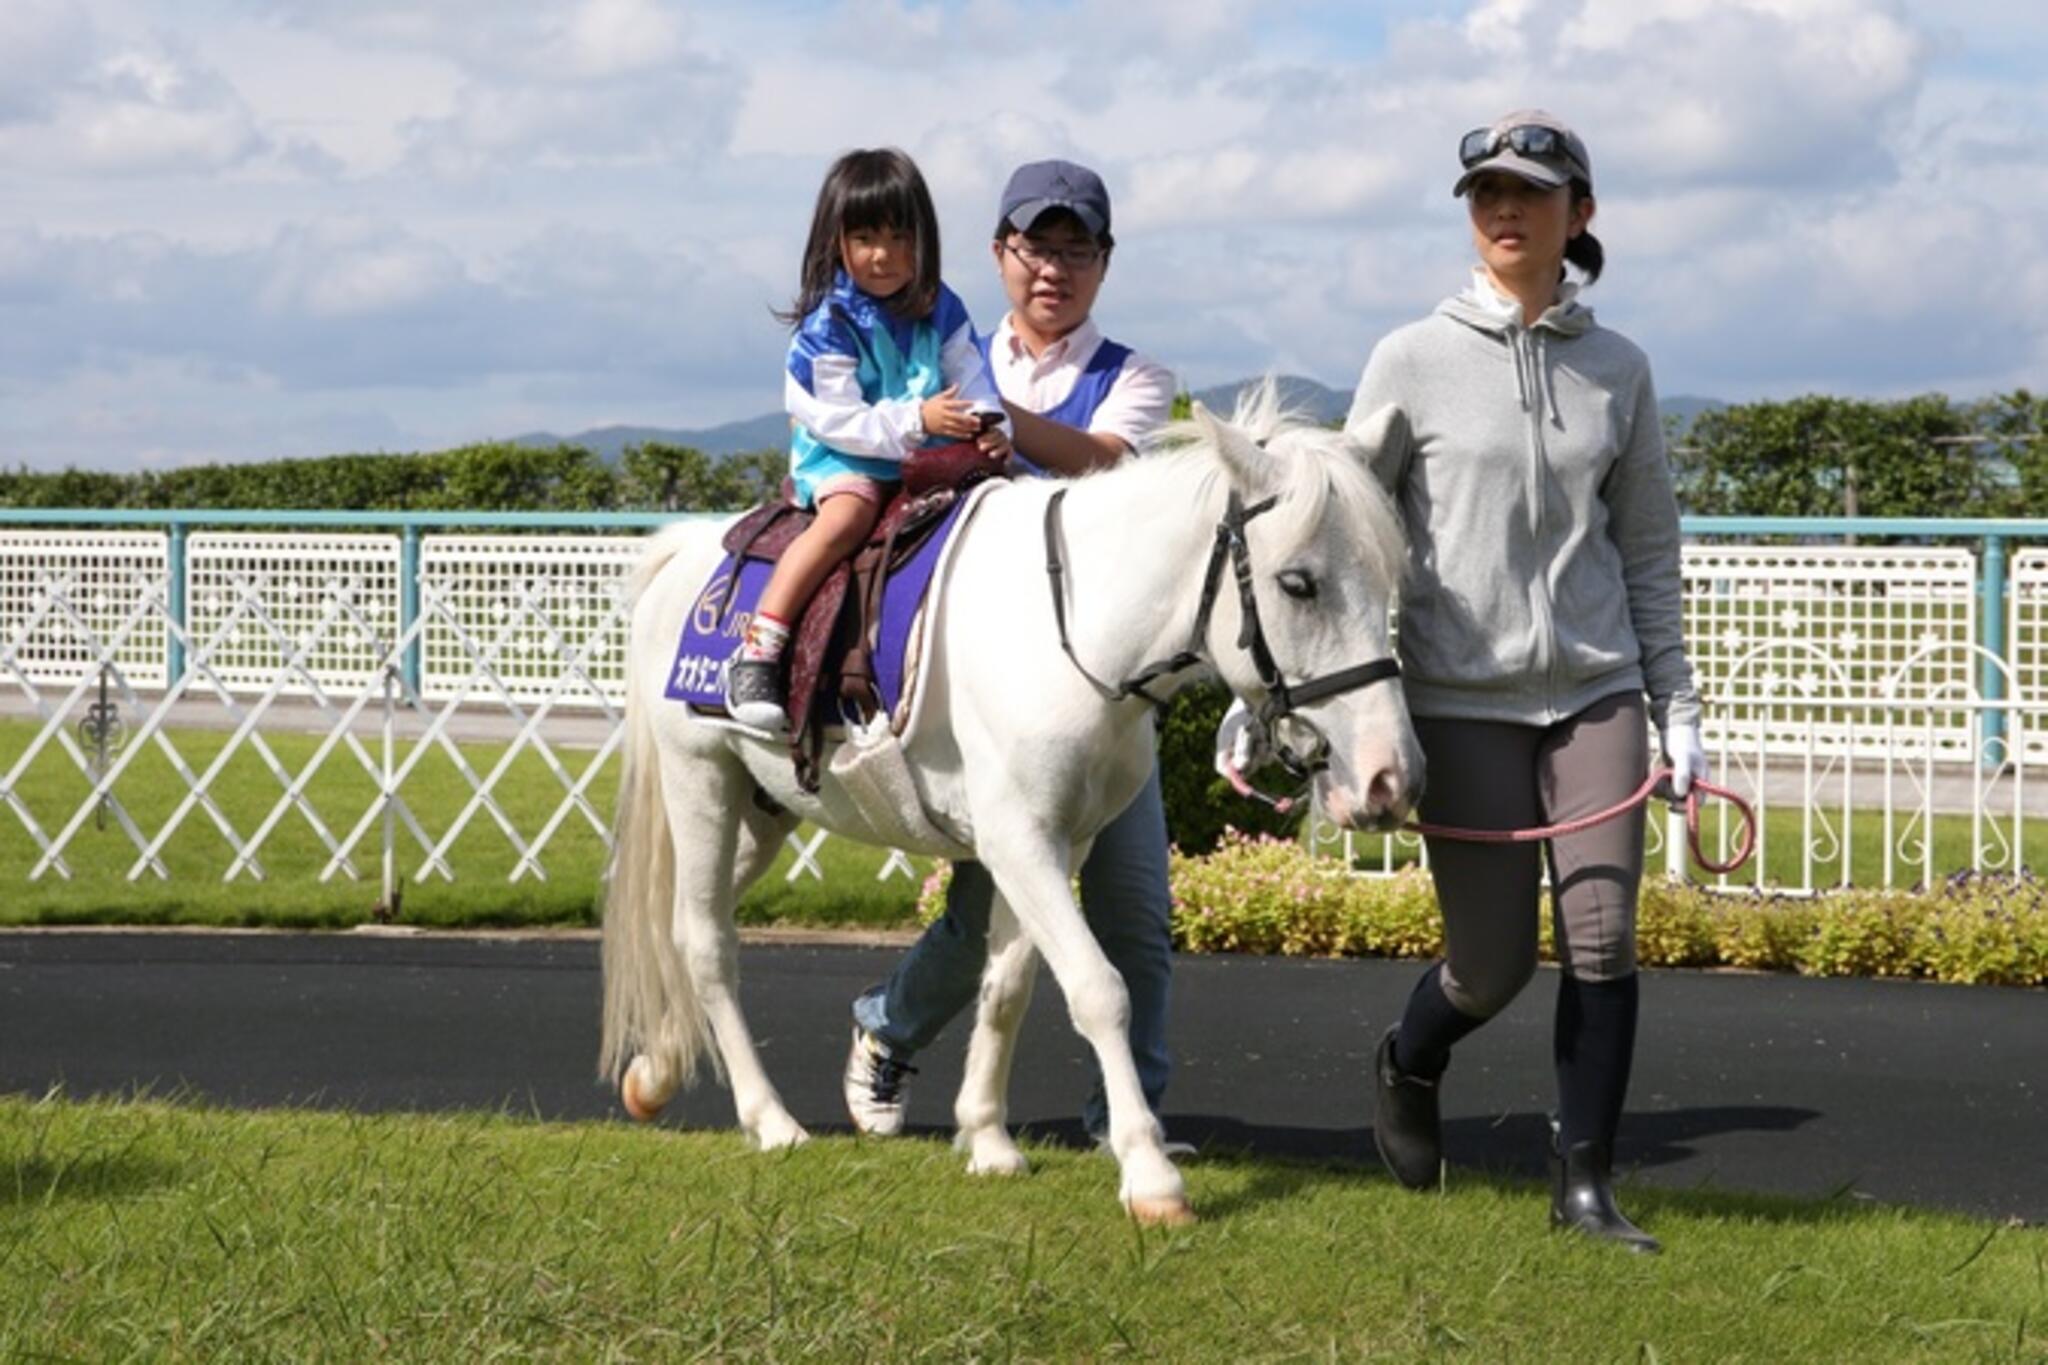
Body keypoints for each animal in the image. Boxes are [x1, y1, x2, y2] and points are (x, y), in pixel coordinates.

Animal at [598, 386, 1417, 1227]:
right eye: (1298, 583)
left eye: (1391, 578)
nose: (1389, 778)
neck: (1069, 630)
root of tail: (683, 558)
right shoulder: (1022, 841)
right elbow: (1098, 988)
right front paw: (1149, 1171)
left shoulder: (1059, 842)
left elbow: (1007, 986)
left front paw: (988, 1137)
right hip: (702, 781)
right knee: (706, 941)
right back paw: (769, 1118)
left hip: (764, 811)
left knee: (679, 922)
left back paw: (656, 1071)